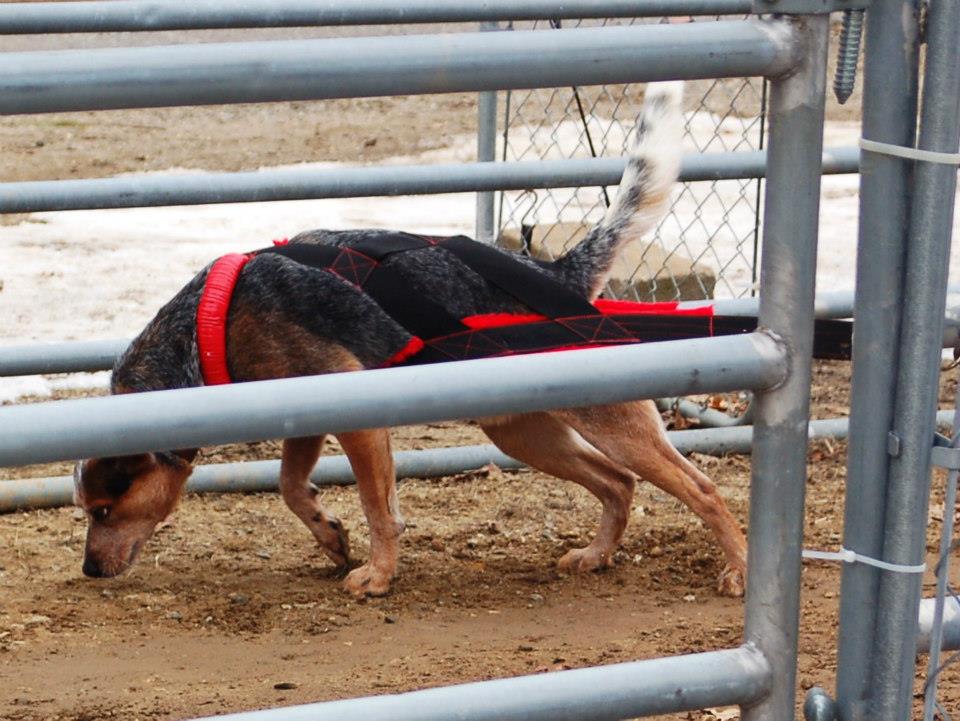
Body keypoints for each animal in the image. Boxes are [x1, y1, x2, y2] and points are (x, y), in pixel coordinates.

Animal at [75, 81, 752, 596]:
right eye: (86, 512)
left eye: (105, 509)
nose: (88, 569)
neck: (207, 327)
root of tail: (559, 274)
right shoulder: (304, 417)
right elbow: (292, 488)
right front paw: (330, 536)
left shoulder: (358, 420)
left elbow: (382, 512)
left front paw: (376, 576)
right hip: (523, 430)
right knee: (618, 483)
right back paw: (596, 555)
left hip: (609, 419)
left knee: (701, 488)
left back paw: (738, 573)